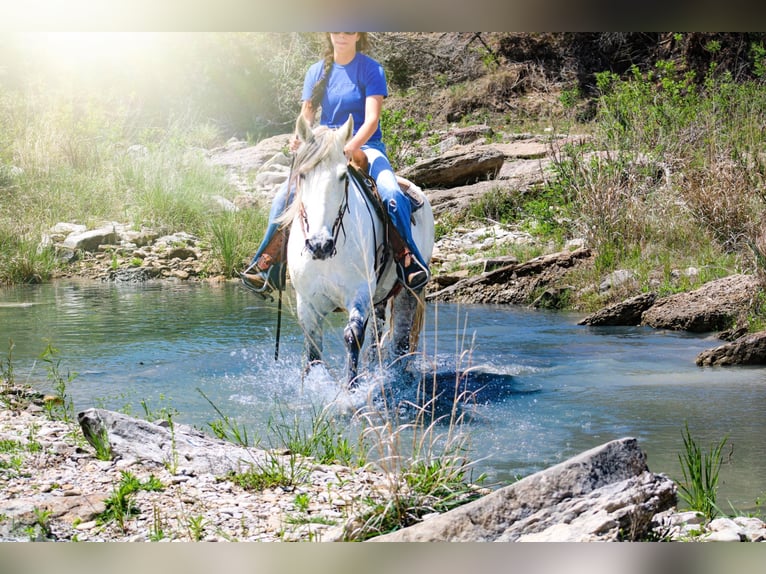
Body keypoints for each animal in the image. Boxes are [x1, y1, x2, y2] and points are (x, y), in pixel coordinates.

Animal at [280, 114, 438, 390]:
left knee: (401, 341)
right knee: (377, 338)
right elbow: (312, 351)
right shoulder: (307, 302)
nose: (319, 245)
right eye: (303, 175)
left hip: (409, 291)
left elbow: (352, 336)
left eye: (343, 175)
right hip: (381, 296)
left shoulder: (359, 292)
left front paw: (351, 390)